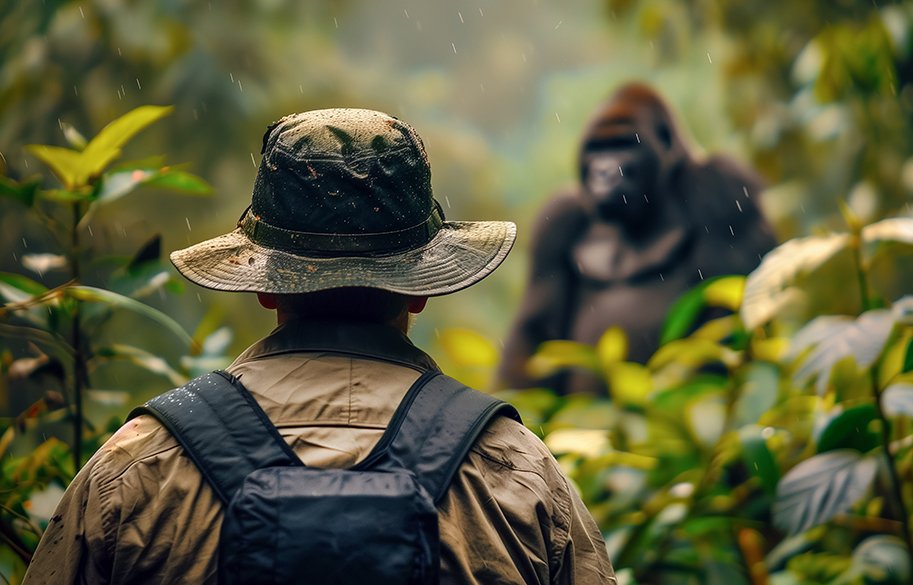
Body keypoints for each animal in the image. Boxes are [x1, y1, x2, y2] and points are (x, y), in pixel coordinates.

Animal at [498, 83, 778, 395]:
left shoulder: (725, 187)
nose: (602, 173)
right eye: (596, 149)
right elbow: (536, 329)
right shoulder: (557, 217)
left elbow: (727, 311)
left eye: (623, 145)